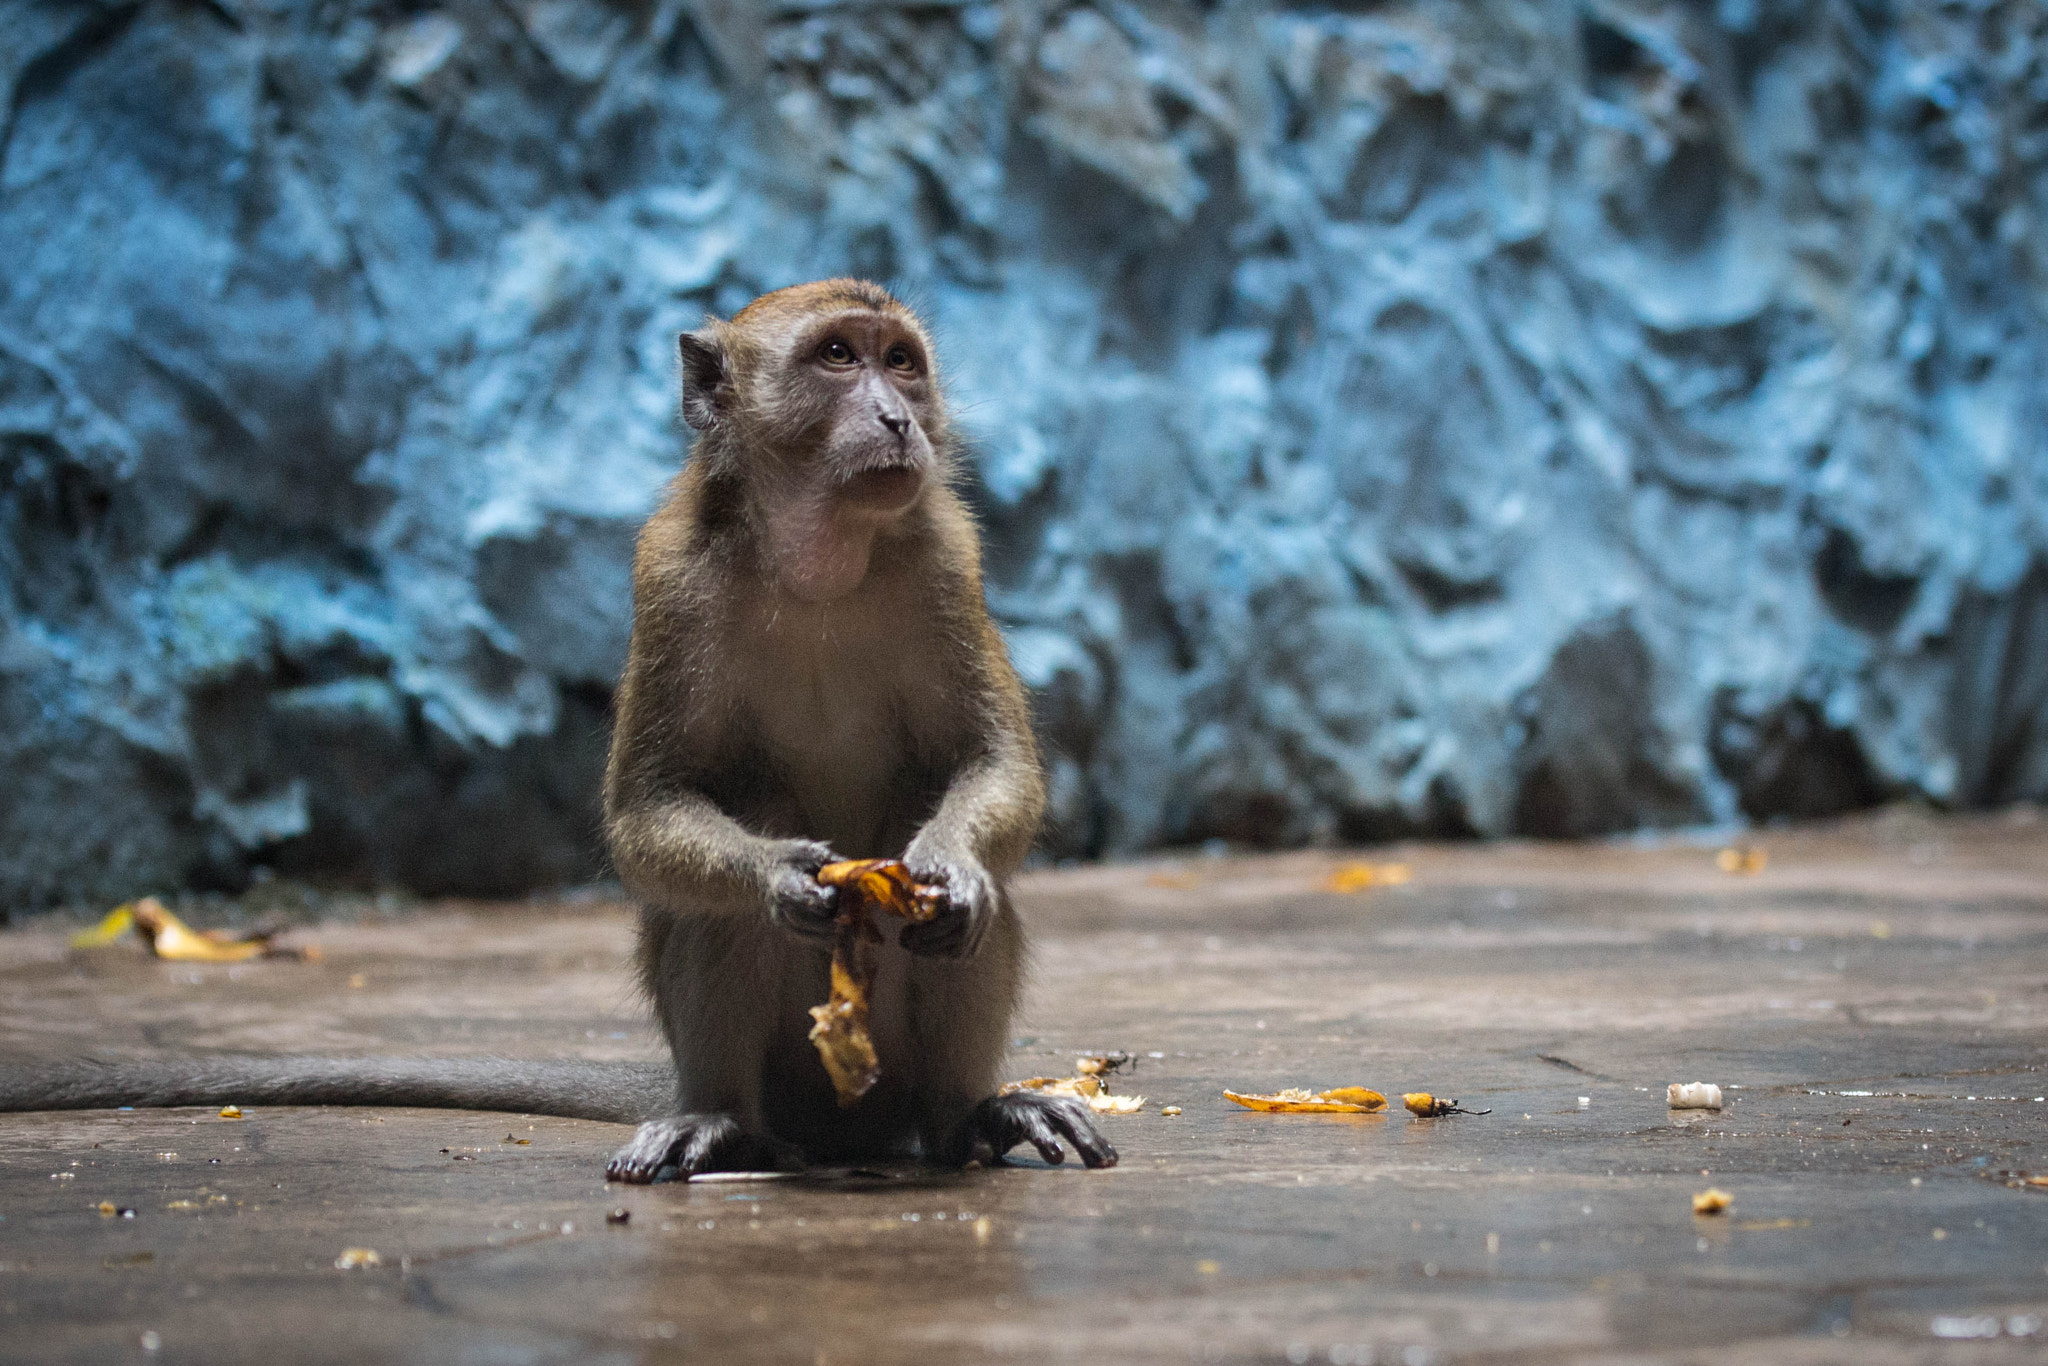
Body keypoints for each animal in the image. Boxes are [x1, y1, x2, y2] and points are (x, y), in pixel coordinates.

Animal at [0, 280, 1122, 1187]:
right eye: (838, 357)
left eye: (902, 362)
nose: (895, 415)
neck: (820, 555)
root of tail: (845, 1131)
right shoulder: (669, 579)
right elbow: (647, 813)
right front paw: (776, 876)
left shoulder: (943, 557)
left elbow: (989, 769)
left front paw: (948, 868)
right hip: (789, 1084)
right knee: (727, 881)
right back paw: (721, 1123)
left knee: (950, 909)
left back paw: (967, 1115)